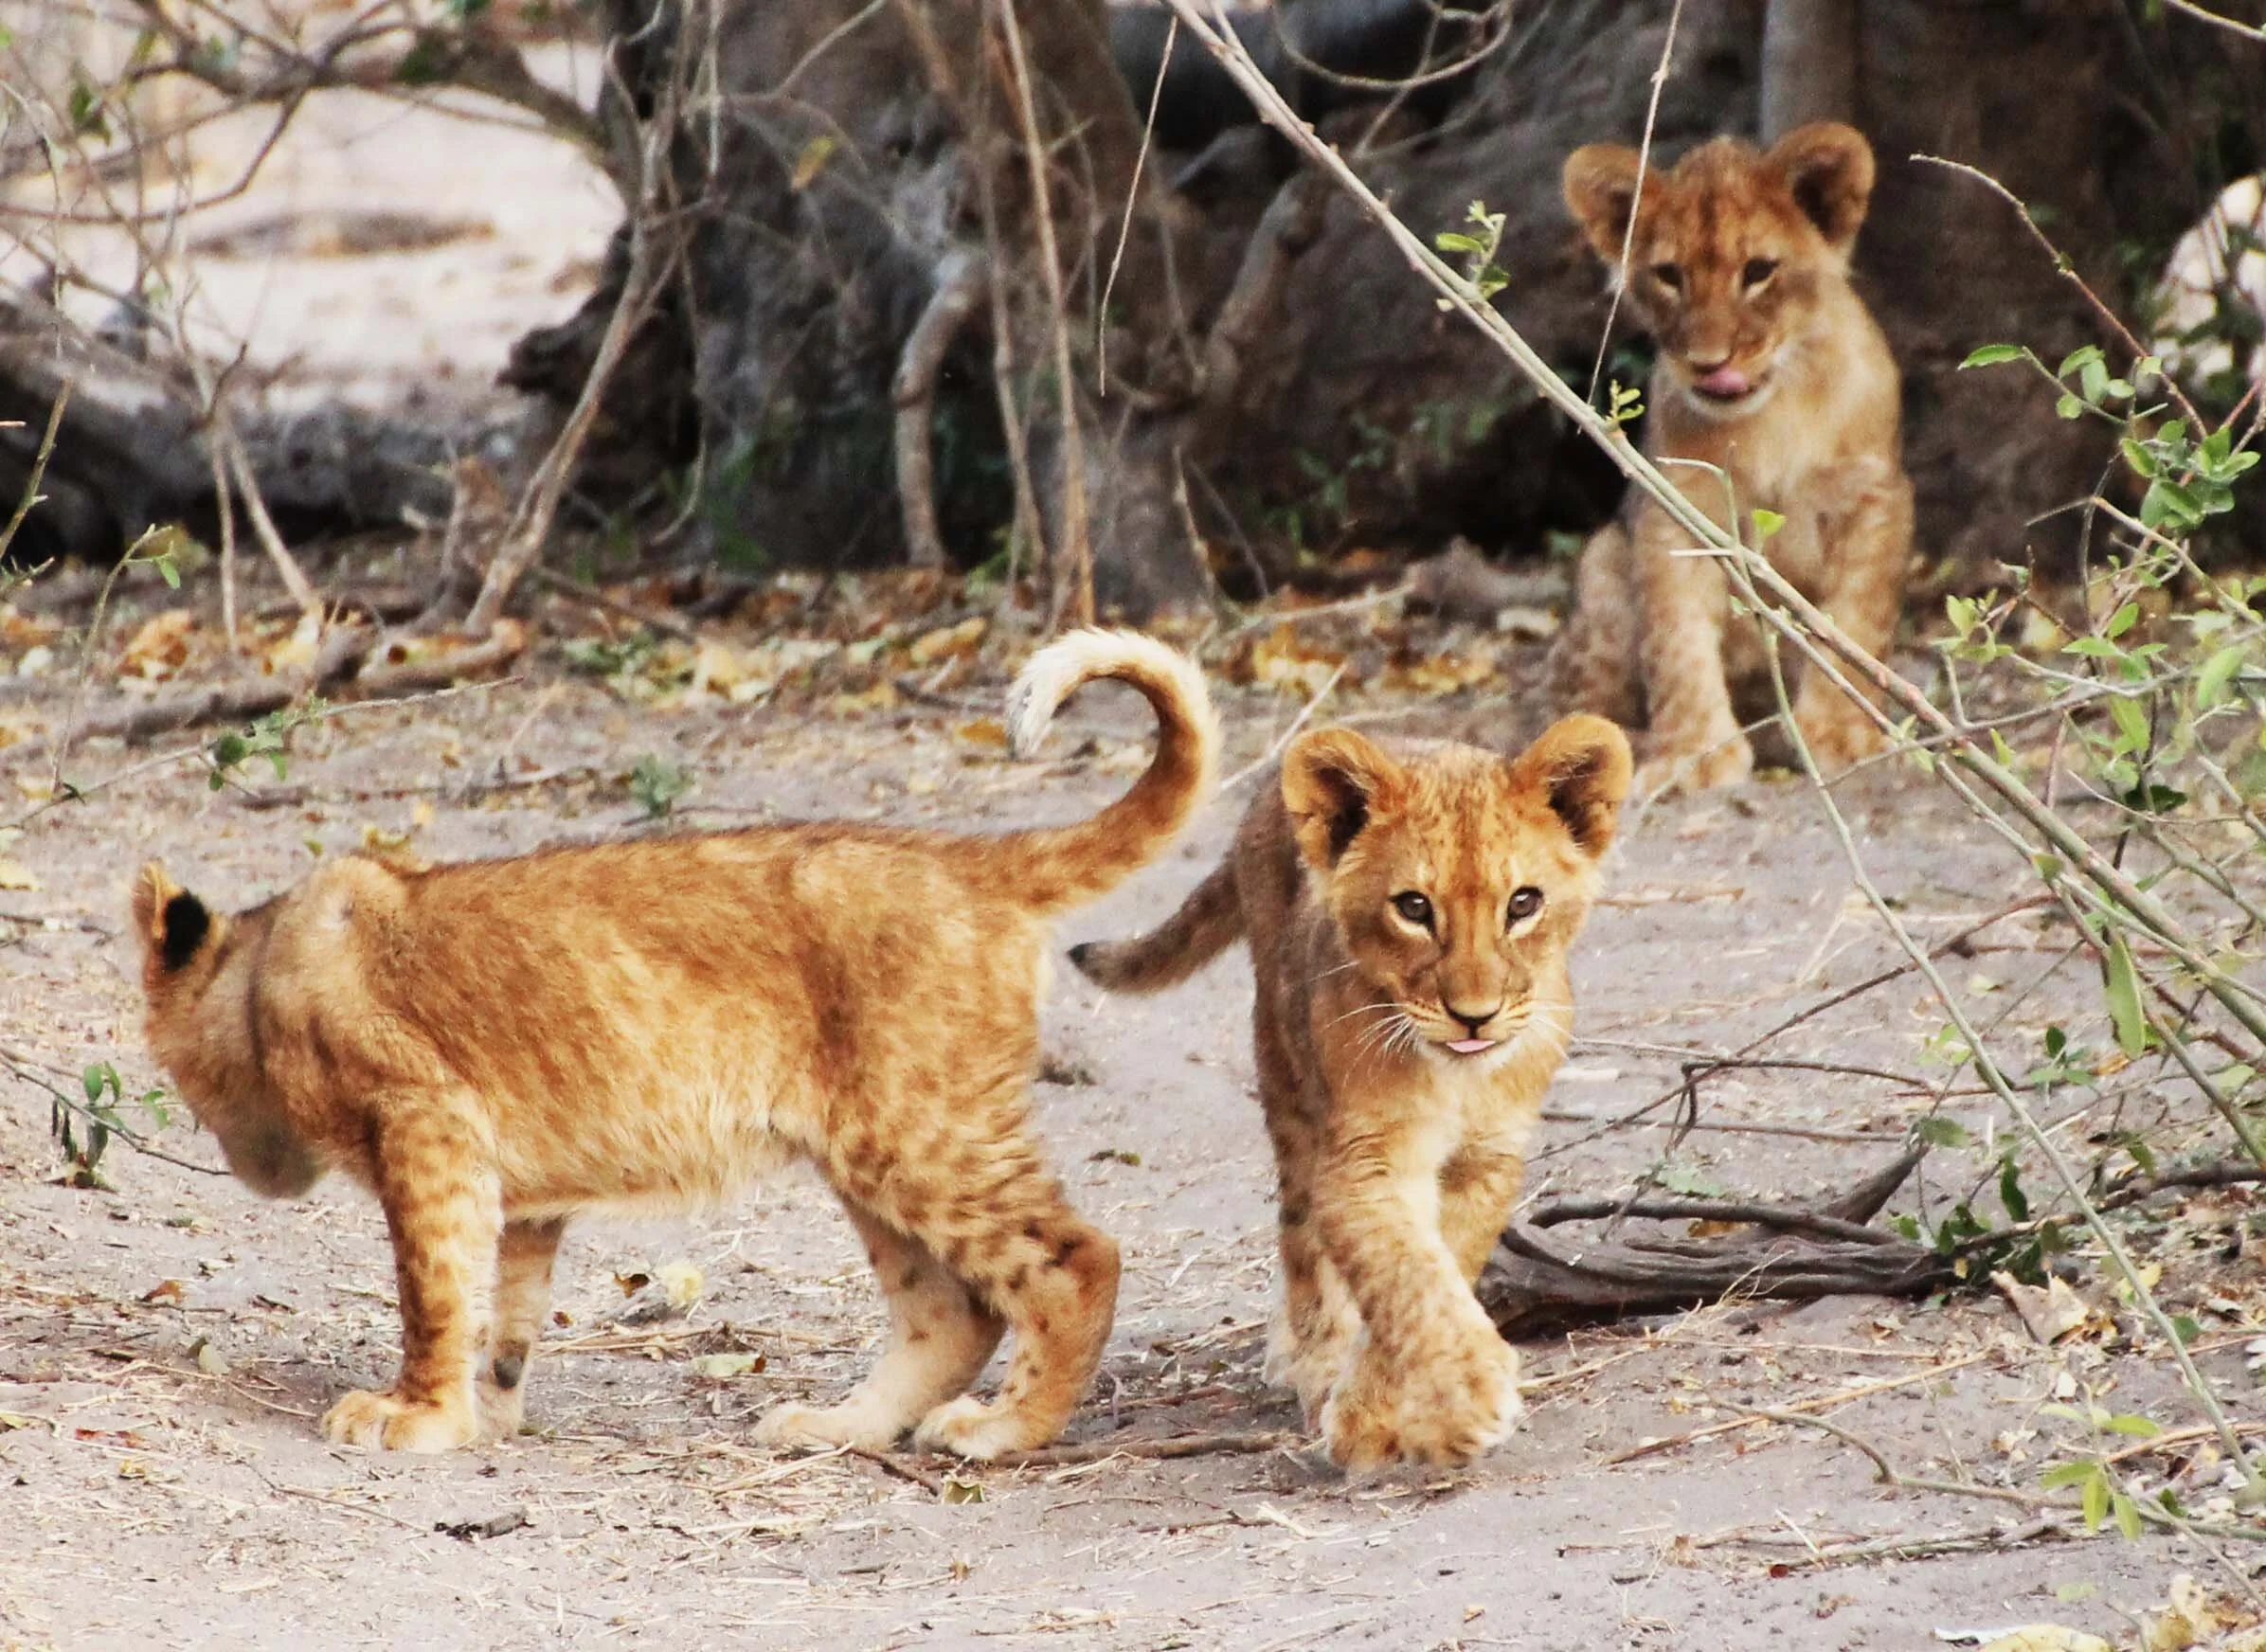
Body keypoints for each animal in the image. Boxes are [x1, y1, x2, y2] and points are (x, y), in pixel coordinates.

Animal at [131, 629, 1217, 1460]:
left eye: (188, 1088)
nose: (254, 1176)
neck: (264, 968)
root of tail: (968, 858)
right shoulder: (511, 1179)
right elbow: (504, 1298)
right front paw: (493, 1406)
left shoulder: (426, 1124)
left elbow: (432, 1288)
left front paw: (418, 1416)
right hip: (869, 1146)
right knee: (954, 1311)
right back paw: (835, 1428)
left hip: (925, 1128)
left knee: (1077, 1261)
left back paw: (1001, 1431)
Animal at [1070, 715, 1630, 1468]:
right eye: (1414, 908)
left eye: (1524, 903)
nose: (1474, 1015)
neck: (1456, 1077)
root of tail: (1260, 804)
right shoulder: (1361, 1160)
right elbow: (1408, 1279)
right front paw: (1468, 1391)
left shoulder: (1487, 1160)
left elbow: (1441, 1266)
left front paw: (1386, 1412)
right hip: (1283, 1070)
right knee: (1301, 1239)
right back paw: (1307, 1358)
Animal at [1552, 121, 1914, 793]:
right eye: (1669, 275)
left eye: (1760, 271)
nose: (1708, 363)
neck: (1774, 411)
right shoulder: (1674, 511)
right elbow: (1676, 638)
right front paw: (1695, 752)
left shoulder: (1874, 496)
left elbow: (1851, 623)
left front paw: (1840, 735)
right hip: (1603, 560)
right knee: (1580, 700)